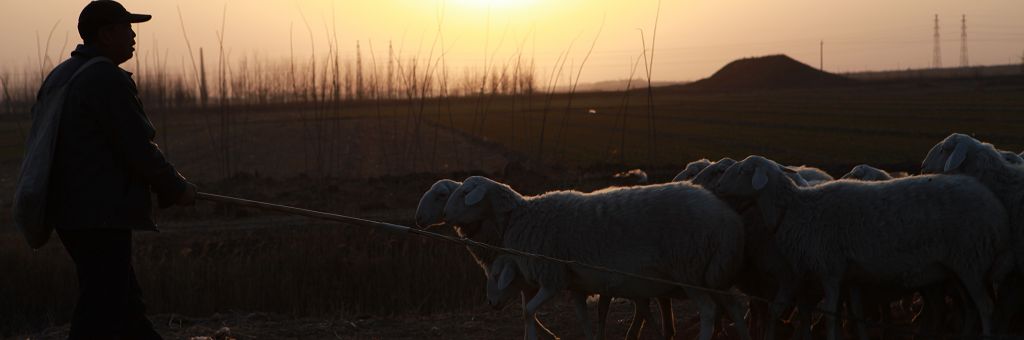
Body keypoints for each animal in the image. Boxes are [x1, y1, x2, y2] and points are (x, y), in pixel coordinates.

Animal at [415, 179, 671, 337]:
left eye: (441, 195)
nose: (418, 218)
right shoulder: (527, 278)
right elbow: (529, 309)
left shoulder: (534, 274)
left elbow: (527, 309)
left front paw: (545, 334)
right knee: (646, 304)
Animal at [442, 175, 753, 340]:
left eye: (465, 193)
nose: (444, 217)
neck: (520, 218)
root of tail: (729, 220)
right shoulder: (575, 283)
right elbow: (583, 319)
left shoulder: (552, 276)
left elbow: (528, 310)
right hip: (714, 272)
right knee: (734, 307)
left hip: (690, 269)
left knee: (709, 311)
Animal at [712, 155, 1007, 340]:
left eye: (742, 171)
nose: (718, 186)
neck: (798, 209)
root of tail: (992, 205)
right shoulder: (851, 275)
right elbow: (855, 314)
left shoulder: (830, 269)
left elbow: (832, 314)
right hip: (956, 268)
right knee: (969, 309)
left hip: (969, 259)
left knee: (984, 307)